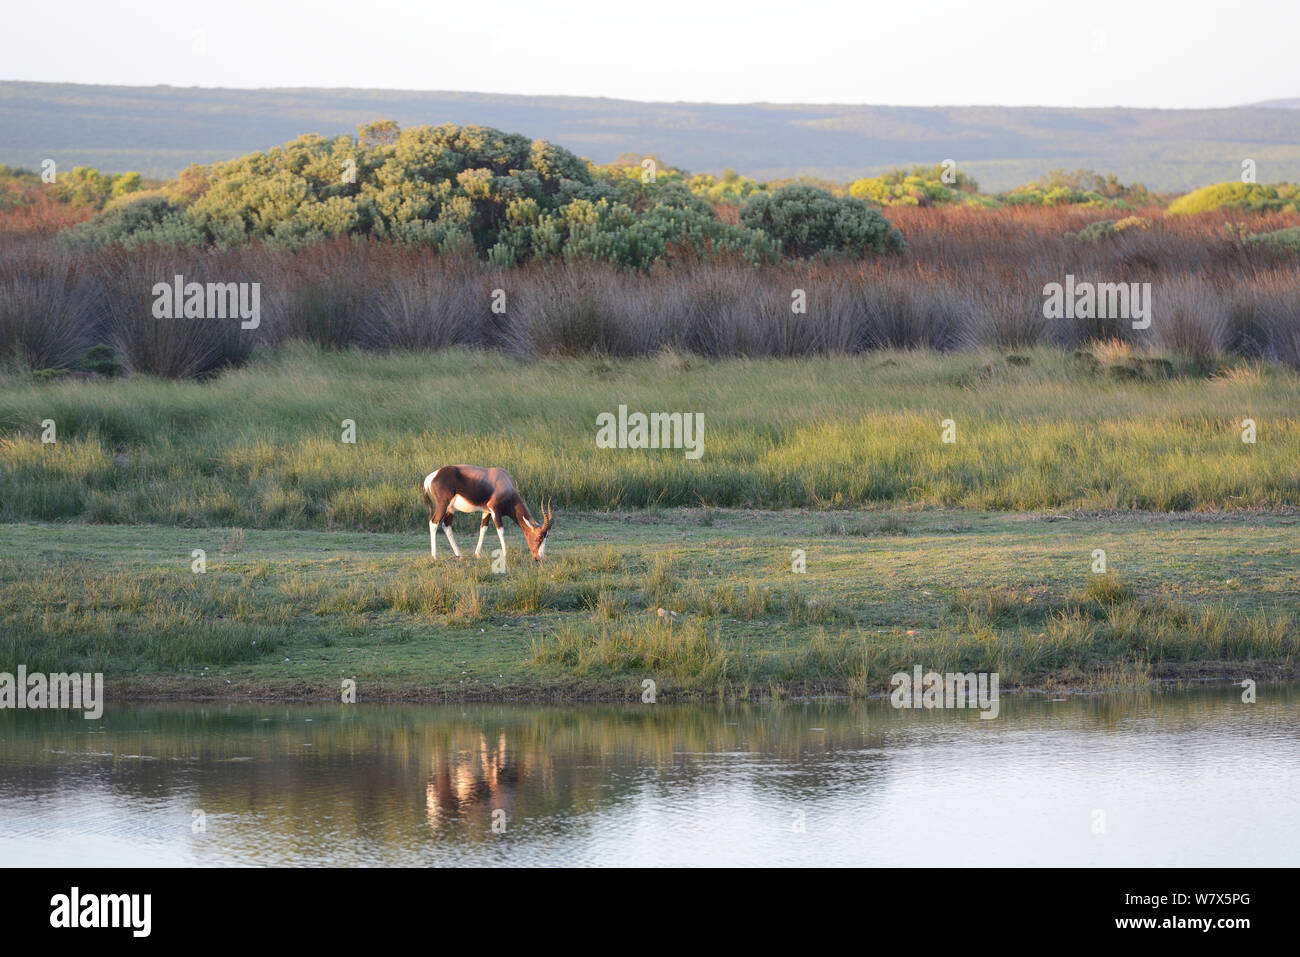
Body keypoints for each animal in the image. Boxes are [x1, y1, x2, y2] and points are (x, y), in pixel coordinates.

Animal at [421, 465, 553, 566]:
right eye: (539, 538)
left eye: (547, 537)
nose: (539, 558)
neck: (503, 481)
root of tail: (431, 477)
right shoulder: (495, 509)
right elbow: (501, 531)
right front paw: (505, 554)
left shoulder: (487, 511)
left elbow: (483, 529)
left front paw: (477, 554)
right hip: (443, 505)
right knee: (433, 522)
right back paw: (435, 556)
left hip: (451, 509)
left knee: (446, 526)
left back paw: (459, 555)